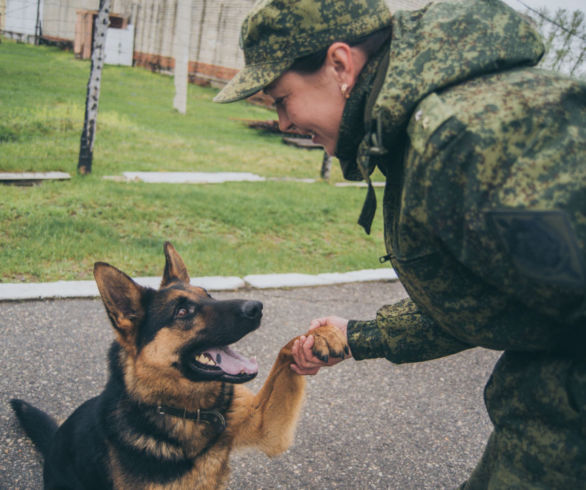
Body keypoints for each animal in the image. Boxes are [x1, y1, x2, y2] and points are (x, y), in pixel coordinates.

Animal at [10, 243, 346, 488]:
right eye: (183, 311)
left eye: (208, 295)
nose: (257, 308)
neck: (186, 411)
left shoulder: (267, 427)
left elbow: (286, 348)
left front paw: (325, 334)